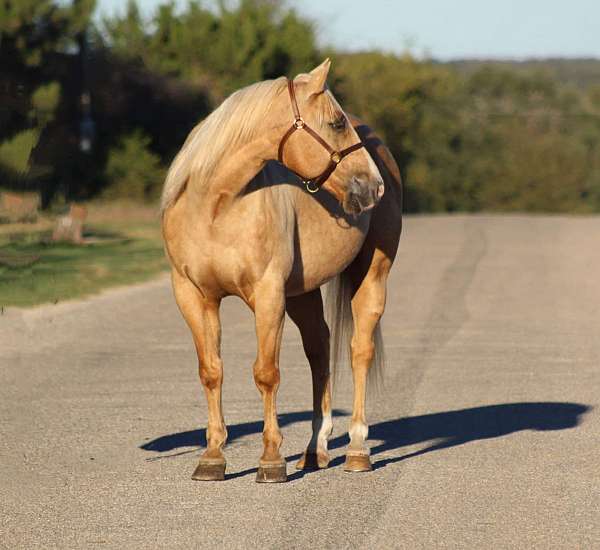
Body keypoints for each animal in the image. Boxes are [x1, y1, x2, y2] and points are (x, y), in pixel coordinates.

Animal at [162, 59, 400, 484]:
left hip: (372, 275)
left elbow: (266, 373)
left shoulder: (268, 294)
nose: (374, 186)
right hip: (302, 293)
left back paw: (357, 450)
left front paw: (271, 460)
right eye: (337, 123)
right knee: (319, 349)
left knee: (359, 350)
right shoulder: (193, 295)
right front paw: (212, 457)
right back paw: (314, 450)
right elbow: (211, 371)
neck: (216, 208)